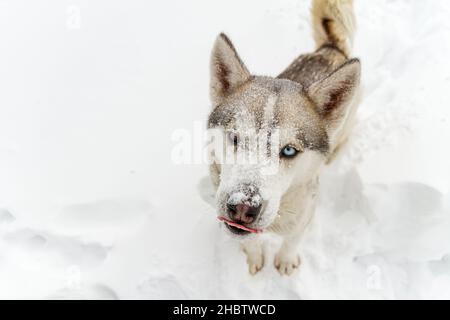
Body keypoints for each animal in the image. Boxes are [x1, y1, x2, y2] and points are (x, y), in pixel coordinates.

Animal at [208, 0, 362, 276]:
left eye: (289, 151)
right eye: (234, 137)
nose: (243, 207)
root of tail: (329, 49)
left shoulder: (305, 214)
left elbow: (293, 239)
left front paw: (286, 260)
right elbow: (252, 241)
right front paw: (254, 257)